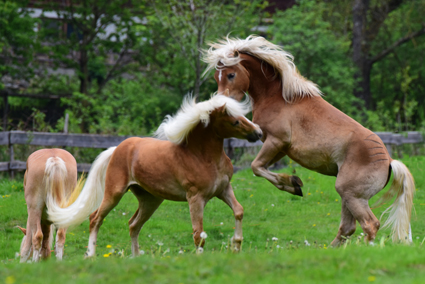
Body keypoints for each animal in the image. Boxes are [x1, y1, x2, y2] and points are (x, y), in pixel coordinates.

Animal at [45, 94, 262, 256]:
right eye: (235, 121)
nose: (258, 133)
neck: (202, 157)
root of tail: (116, 149)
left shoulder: (224, 189)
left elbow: (239, 211)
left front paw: (236, 245)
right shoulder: (196, 198)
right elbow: (198, 234)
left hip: (150, 200)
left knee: (133, 225)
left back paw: (135, 257)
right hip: (114, 193)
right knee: (95, 218)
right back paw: (90, 255)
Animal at [202, 34, 414, 245]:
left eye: (231, 75)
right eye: (216, 77)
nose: (221, 103)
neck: (279, 99)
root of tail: (389, 161)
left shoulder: (275, 141)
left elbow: (256, 167)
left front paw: (293, 184)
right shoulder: (280, 149)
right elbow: (261, 168)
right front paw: (293, 183)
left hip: (352, 196)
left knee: (370, 225)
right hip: (348, 195)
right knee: (348, 227)